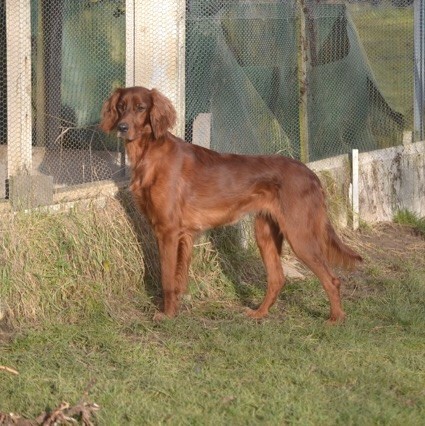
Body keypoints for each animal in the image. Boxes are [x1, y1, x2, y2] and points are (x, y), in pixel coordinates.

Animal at [100, 86, 362, 322]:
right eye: (121, 106)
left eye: (141, 107)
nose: (122, 127)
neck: (150, 153)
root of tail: (310, 173)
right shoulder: (184, 235)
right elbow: (179, 278)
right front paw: (177, 309)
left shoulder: (168, 231)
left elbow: (167, 279)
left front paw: (166, 315)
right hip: (265, 233)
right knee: (277, 279)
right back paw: (259, 313)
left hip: (299, 235)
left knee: (331, 279)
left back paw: (335, 319)